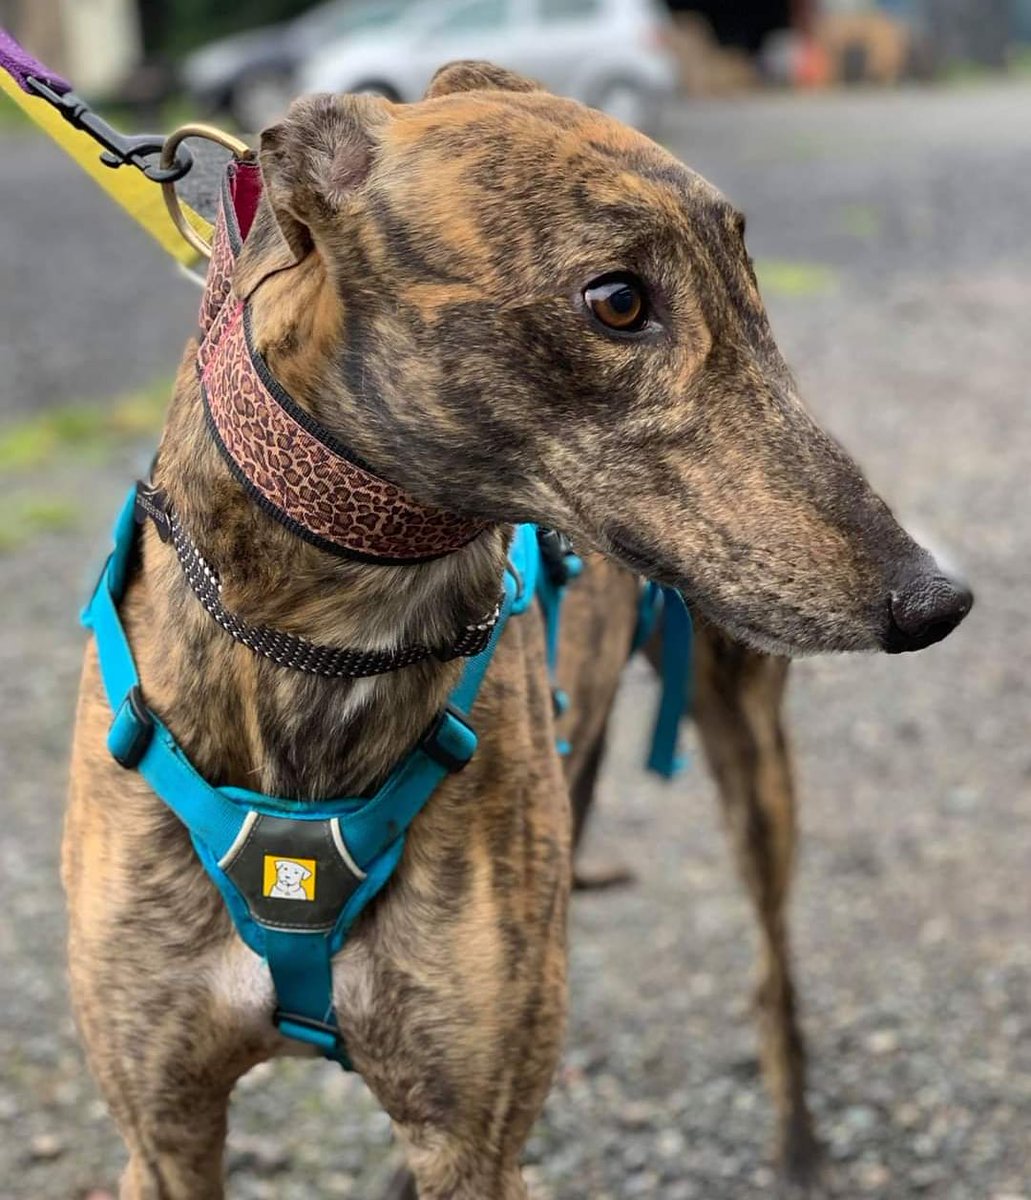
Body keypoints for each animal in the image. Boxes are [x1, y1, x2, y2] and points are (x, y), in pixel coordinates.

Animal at [62, 60, 969, 1195]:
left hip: (748, 750)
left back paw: (797, 1136)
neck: (323, 644)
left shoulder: (474, 1135)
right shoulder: (163, 1130)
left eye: (747, 278)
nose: (932, 598)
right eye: (616, 299)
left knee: (772, 964)